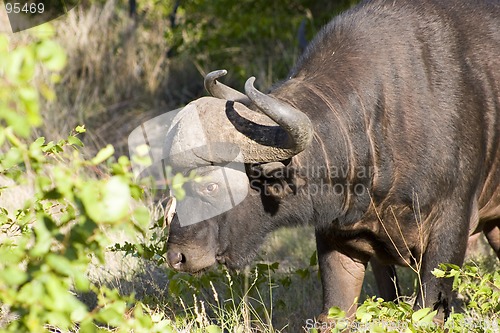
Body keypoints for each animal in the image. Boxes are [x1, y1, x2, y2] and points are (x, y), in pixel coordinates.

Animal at [162, 0, 498, 322]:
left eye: (211, 187)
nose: (178, 256)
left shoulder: (449, 230)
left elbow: (427, 312)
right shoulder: (338, 237)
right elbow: (335, 314)